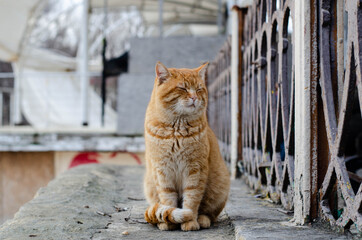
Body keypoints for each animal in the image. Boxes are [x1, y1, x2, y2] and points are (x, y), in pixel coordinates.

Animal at [144, 61, 230, 231]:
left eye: (199, 89)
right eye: (182, 88)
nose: (194, 97)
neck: (176, 131)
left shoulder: (195, 169)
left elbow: (192, 199)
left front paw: (190, 221)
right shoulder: (162, 171)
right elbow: (168, 199)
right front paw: (169, 221)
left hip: (220, 187)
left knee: (210, 213)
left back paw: (202, 220)